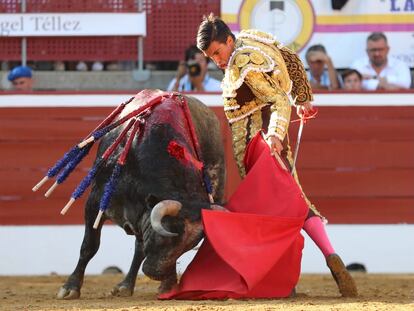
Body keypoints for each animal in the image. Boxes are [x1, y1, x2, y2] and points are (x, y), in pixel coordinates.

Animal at [49, 90, 225, 300]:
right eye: (167, 233)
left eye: (188, 247)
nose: (157, 273)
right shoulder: (95, 201)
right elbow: (89, 246)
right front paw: (70, 288)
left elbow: (140, 249)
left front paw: (168, 285)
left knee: (139, 249)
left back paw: (127, 285)